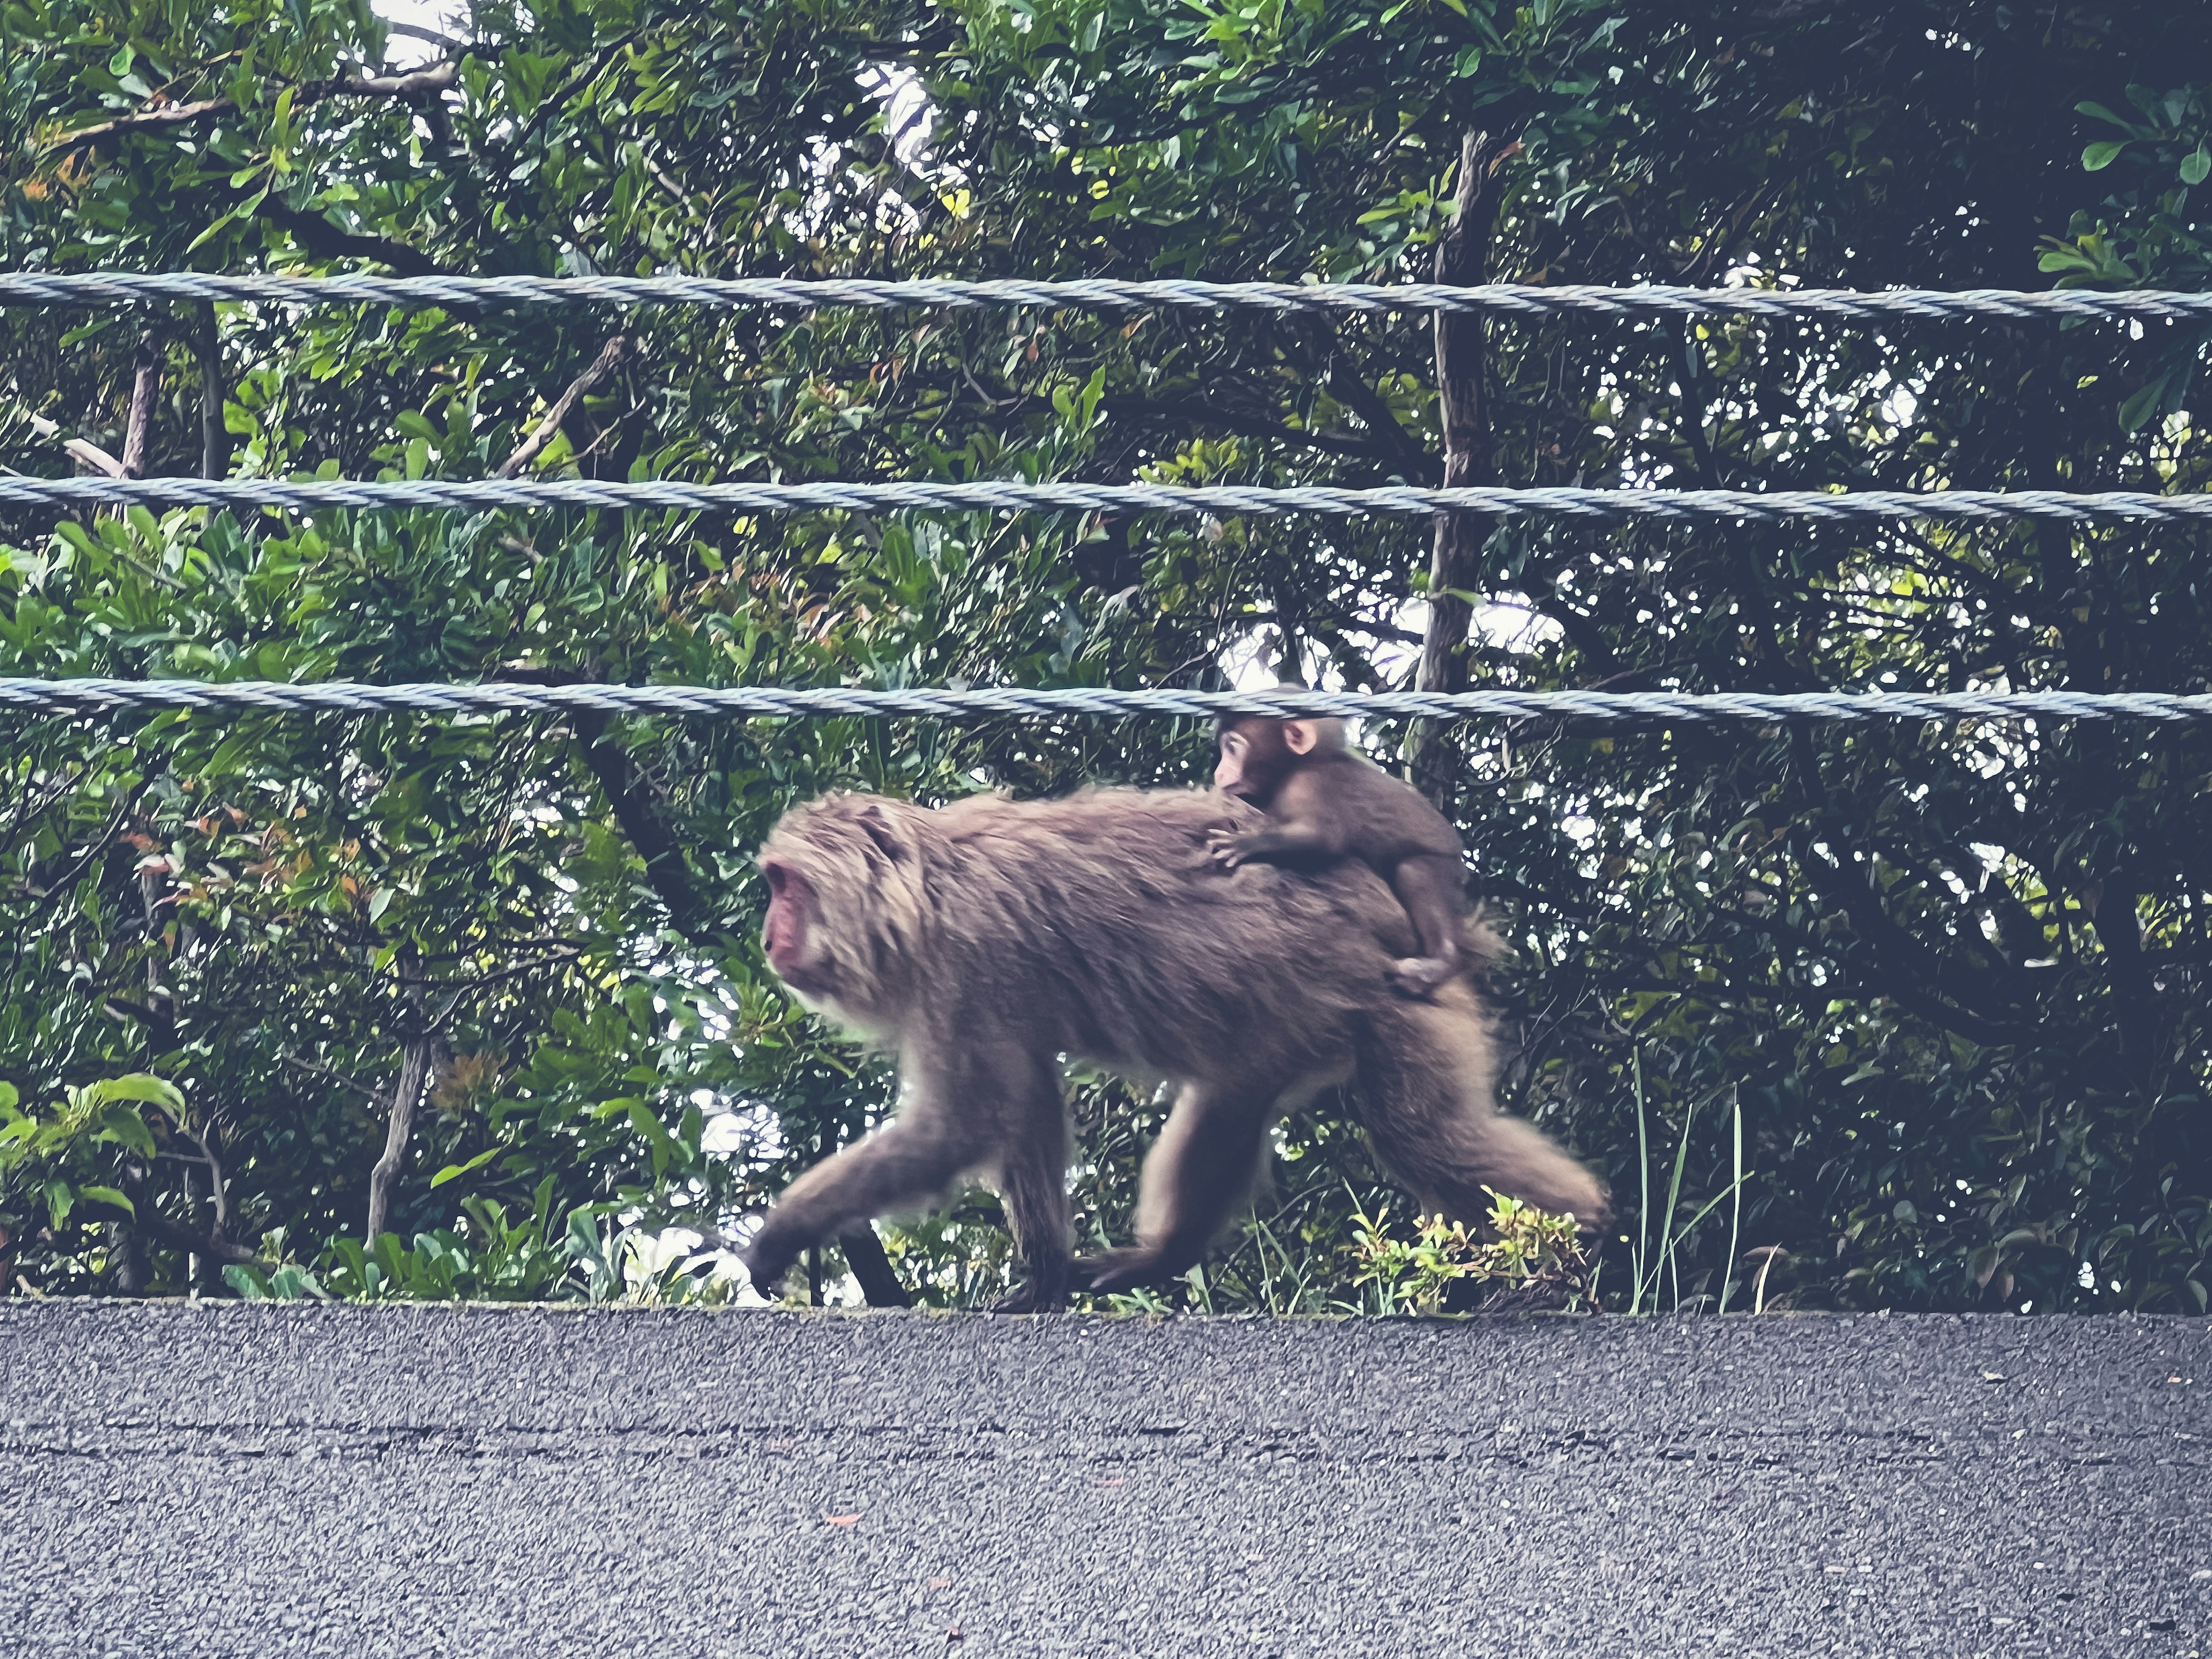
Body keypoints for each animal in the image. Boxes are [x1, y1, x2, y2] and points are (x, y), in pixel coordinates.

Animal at [743, 787, 1610, 1318]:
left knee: (1422, 1134)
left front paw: (785, 1229)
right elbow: (1024, 1111)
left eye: (786, 885)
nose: (767, 936)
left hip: (1397, 998)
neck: (925, 891)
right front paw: (1045, 1278)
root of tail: (1420, 920)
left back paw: (1581, 1253)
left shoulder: (967, 960)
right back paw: (1163, 1258)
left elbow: (963, 1124)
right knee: (1235, 1099)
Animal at [1212, 703, 1468, 999]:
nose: (1218, 773)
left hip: (1445, 867)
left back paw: (1438, 963)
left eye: (1232, 748)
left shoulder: (1308, 783)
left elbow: (1325, 838)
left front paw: (1244, 844)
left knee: (1415, 871)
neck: (1294, 767)